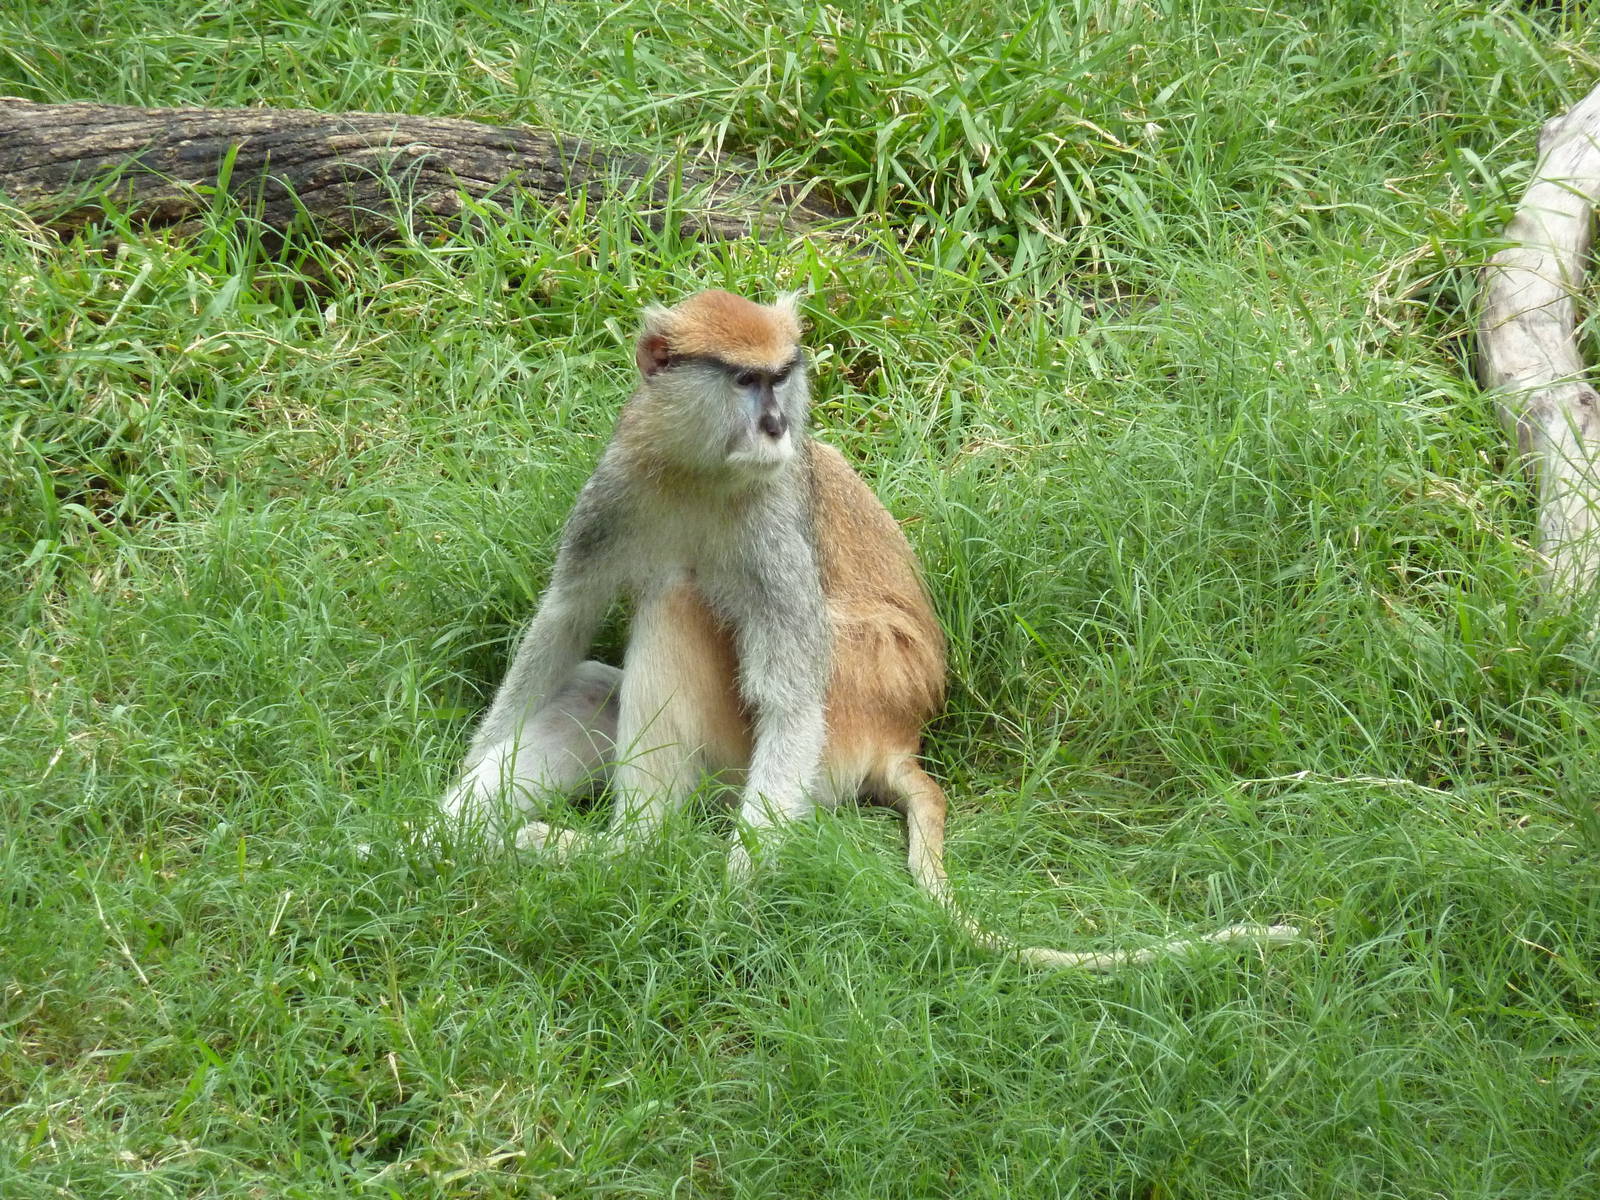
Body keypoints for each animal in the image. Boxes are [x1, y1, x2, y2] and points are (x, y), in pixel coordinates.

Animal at [441, 289, 1299, 970]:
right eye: (745, 381)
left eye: (782, 376)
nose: (777, 424)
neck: (700, 472)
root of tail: (899, 734)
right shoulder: (617, 487)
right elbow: (565, 619)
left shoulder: (772, 534)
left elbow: (789, 696)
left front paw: (734, 897)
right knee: (595, 684)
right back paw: (448, 835)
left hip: (820, 737)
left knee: (679, 606)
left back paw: (620, 849)